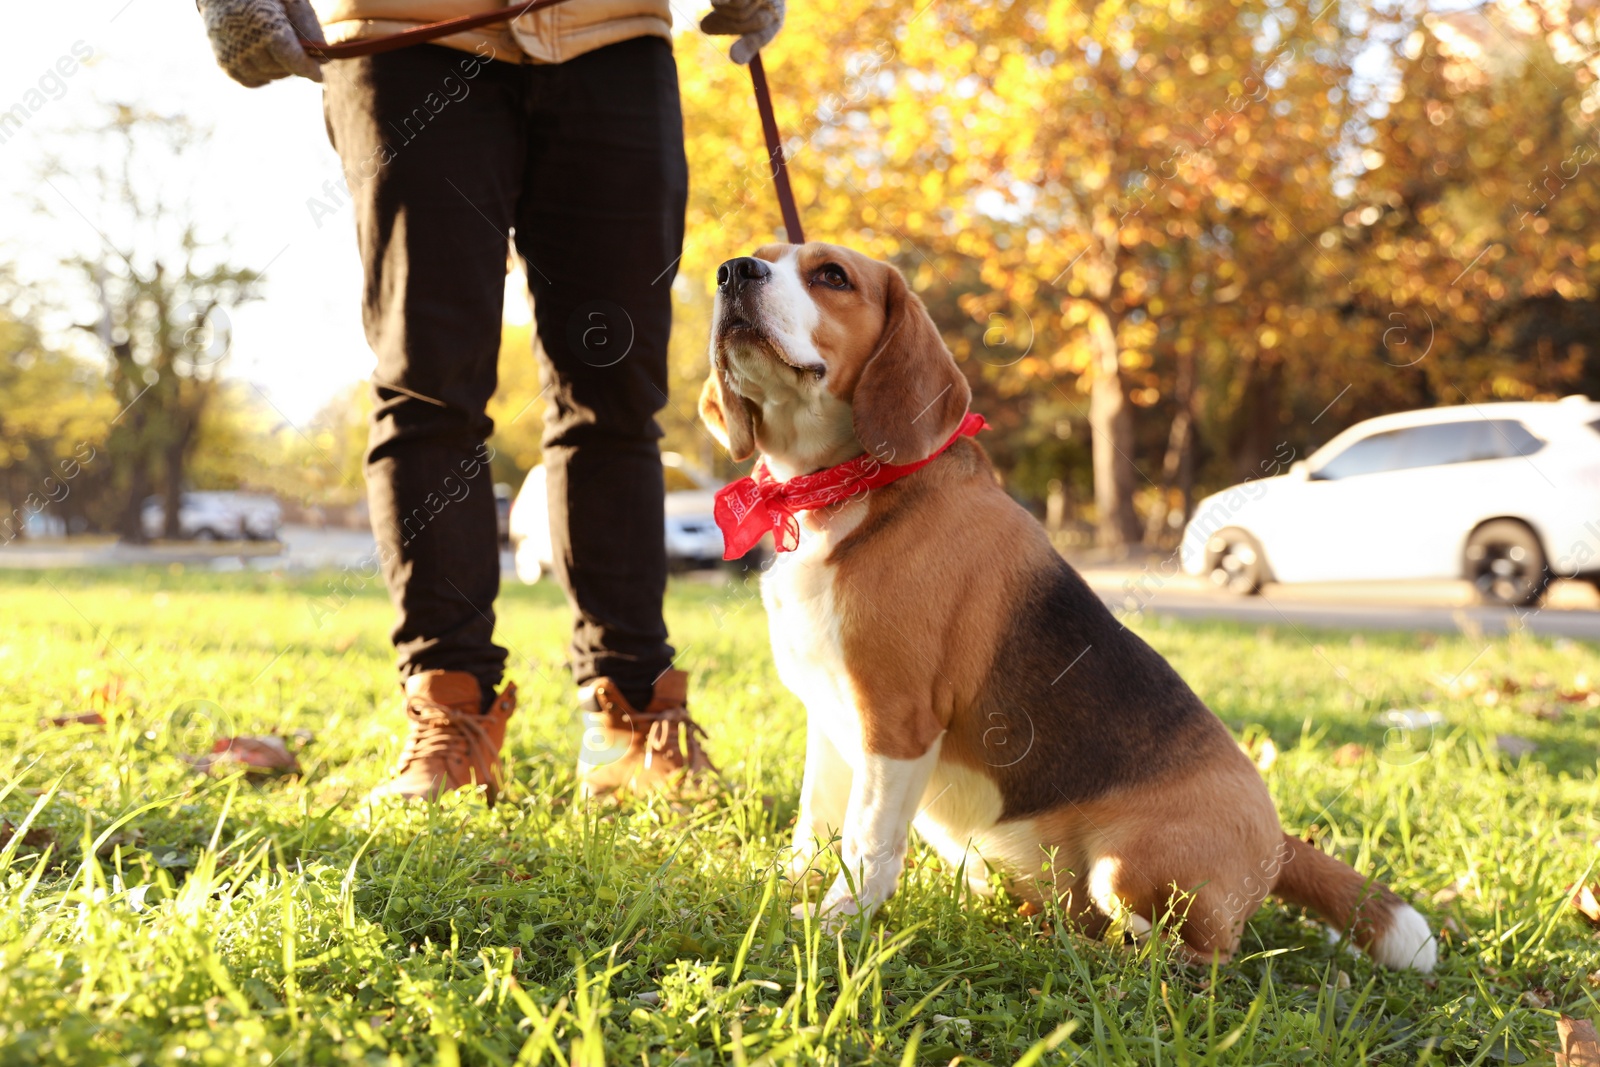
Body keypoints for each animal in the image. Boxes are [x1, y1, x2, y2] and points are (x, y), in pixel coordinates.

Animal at [700, 244, 1440, 979]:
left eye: (832, 276)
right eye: (761, 259)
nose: (733, 271)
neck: (835, 493)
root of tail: (1279, 838)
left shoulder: (896, 718)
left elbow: (867, 842)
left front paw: (837, 925)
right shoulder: (828, 716)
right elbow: (816, 823)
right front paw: (786, 893)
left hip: (1127, 868)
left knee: (1189, 957)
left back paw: (1070, 950)